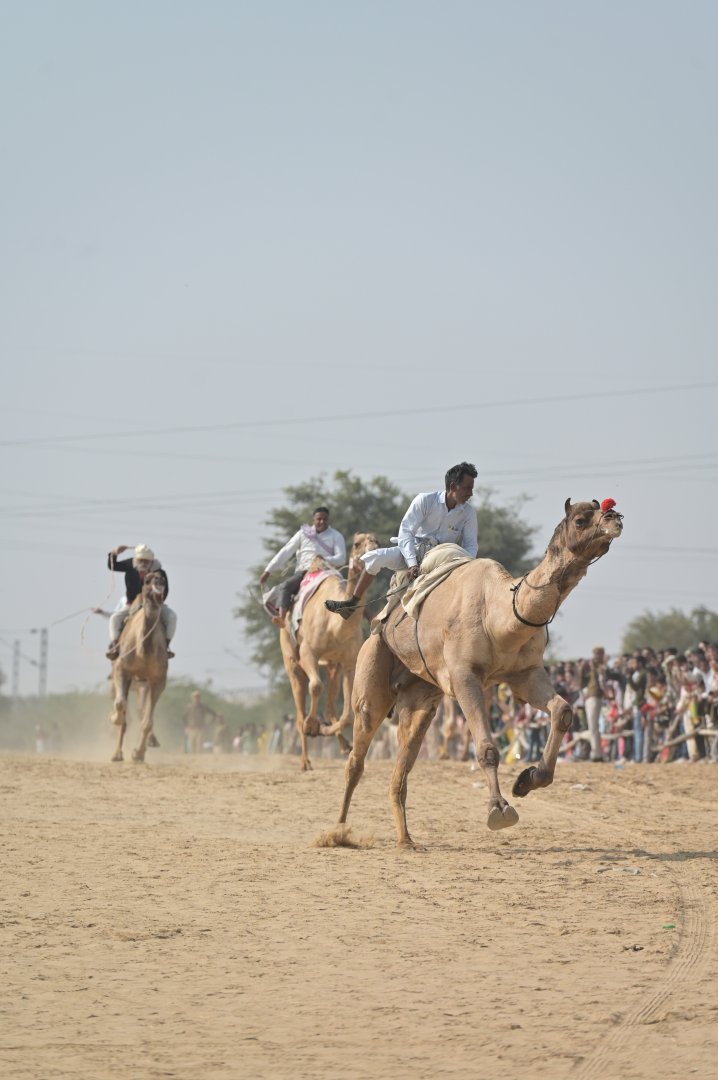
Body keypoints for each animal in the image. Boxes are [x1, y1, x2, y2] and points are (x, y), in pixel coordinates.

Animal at [109, 570, 169, 763]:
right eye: (147, 581)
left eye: (163, 580)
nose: (159, 590)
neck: (143, 651)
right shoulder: (121, 670)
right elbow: (120, 704)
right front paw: (114, 718)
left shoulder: (158, 679)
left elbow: (147, 721)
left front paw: (138, 754)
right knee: (122, 705)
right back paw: (116, 754)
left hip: (143, 682)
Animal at [278, 532, 379, 771]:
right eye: (357, 544)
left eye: (377, 541)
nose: (372, 550)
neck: (335, 625)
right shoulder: (309, 653)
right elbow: (316, 686)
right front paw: (312, 725)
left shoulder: (348, 661)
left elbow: (348, 713)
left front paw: (324, 730)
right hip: (291, 658)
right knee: (299, 707)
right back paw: (305, 761)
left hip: (332, 665)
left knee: (331, 707)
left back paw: (341, 743)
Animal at [332, 498, 623, 846]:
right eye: (580, 519)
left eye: (601, 507)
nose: (615, 517)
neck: (500, 614)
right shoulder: (464, 676)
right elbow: (487, 749)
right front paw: (499, 809)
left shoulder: (524, 674)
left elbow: (563, 711)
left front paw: (527, 779)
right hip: (372, 666)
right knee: (357, 755)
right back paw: (337, 831)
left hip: (421, 694)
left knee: (405, 760)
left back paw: (406, 839)